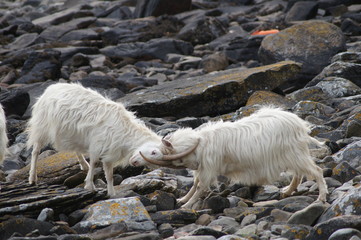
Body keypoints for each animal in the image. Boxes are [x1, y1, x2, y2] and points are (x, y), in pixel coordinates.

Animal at [28, 83, 162, 196]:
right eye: (153, 152)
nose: (134, 163)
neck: (127, 131)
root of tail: (51, 88)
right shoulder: (98, 145)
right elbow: (95, 163)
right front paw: (90, 186)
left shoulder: (109, 152)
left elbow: (109, 175)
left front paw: (112, 194)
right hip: (42, 126)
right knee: (35, 151)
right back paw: (32, 178)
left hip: (71, 133)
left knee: (76, 149)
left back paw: (83, 164)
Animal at [129, 107, 326, 208]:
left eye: (154, 152)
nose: (133, 161)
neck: (199, 144)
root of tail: (300, 125)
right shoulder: (202, 168)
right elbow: (194, 184)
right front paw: (182, 200)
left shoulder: (208, 168)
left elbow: (200, 187)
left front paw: (186, 205)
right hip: (291, 155)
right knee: (299, 174)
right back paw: (287, 191)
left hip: (294, 154)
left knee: (316, 170)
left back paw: (321, 198)